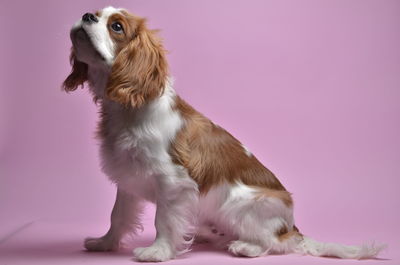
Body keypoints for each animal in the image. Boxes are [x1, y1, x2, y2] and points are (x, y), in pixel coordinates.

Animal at [64, 6, 386, 262]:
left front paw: (158, 252)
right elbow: (118, 215)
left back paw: (247, 247)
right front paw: (105, 243)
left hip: (239, 204)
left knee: (279, 243)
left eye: (116, 26)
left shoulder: (172, 182)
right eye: (97, 13)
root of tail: (292, 226)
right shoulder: (128, 178)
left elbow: (163, 220)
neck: (127, 108)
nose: (87, 15)